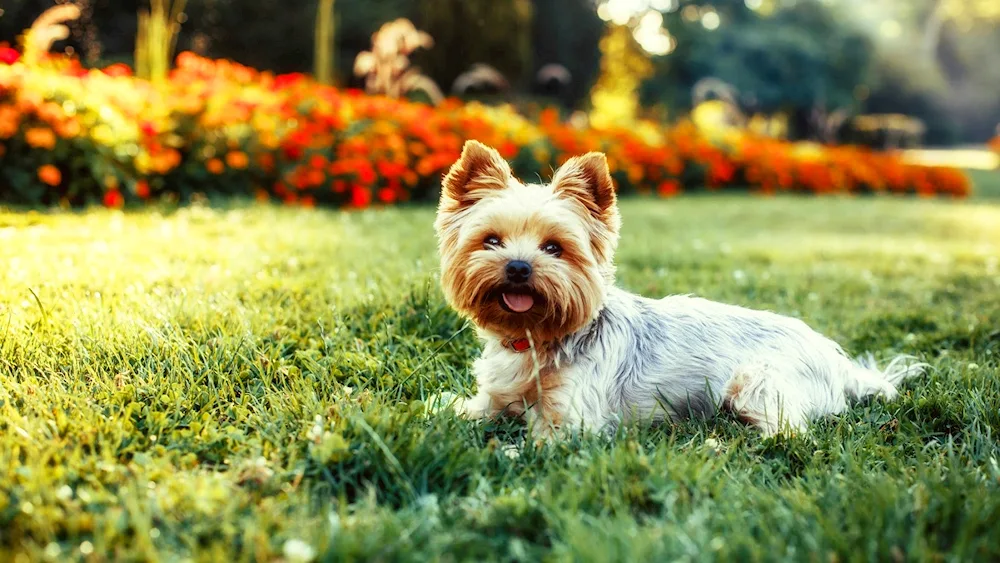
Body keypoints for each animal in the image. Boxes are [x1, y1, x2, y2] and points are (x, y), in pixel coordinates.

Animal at [434, 141, 924, 440]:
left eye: (554, 247)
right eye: (491, 241)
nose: (518, 267)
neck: (535, 337)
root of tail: (840, 363)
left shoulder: (572, 420)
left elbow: (534, 443)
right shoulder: (492, 398)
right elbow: (464, 409)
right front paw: (435, 412)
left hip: (756, 383)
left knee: (789, 431)